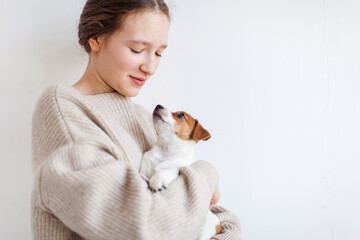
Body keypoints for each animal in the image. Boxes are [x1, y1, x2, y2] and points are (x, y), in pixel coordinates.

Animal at [139, 104, 221, 240]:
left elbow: (168, 169)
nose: (158, 105)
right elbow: (142, 173)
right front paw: (144, 178)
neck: (165, 151)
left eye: (181, 115)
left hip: (204, 232)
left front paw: (158, 179)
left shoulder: (180, 167)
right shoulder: (146, 164)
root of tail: (218, 224)